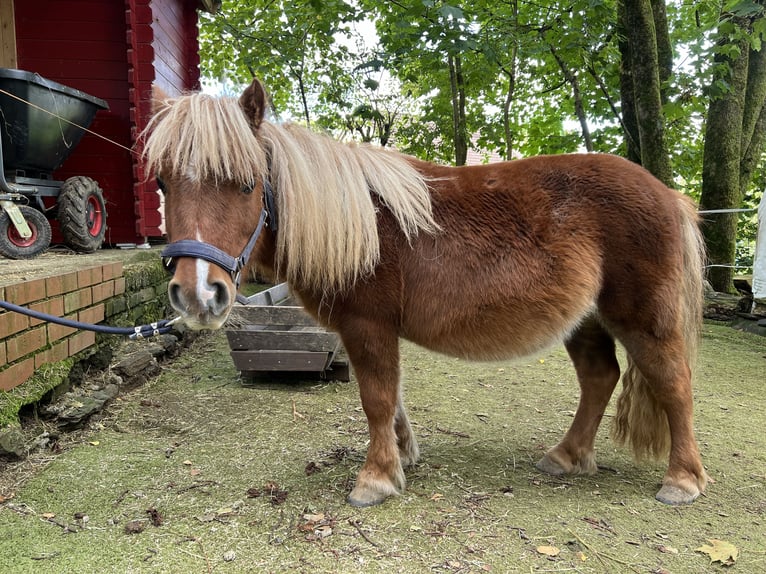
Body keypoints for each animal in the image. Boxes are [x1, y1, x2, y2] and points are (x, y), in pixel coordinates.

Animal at [144, 79, 708, 510]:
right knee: (599, 378)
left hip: (643, 319)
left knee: (674, 383)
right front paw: (401, 455)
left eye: (246, 185)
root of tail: (669, 195)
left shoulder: (367, 325)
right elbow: (391, 397)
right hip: (585, 321)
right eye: (163, 185)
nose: (197, 294)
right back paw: (566, 456)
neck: (360, 227)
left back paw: (681, 480)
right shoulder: (372, 332)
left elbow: (375, 398)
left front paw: (376, 478)